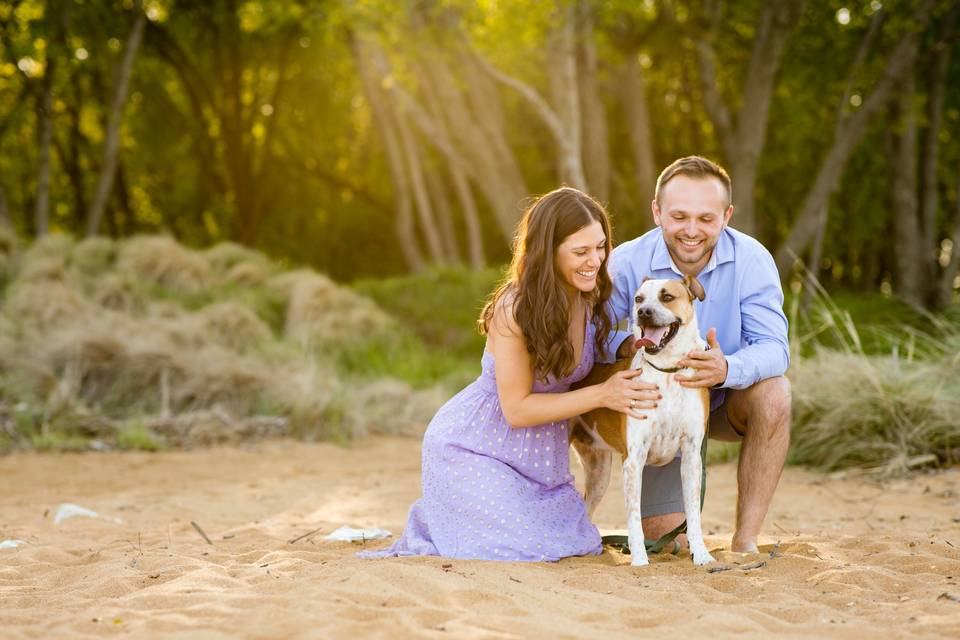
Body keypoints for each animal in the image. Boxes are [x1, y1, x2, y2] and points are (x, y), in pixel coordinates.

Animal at [568, 276, 712, 564]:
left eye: (667, 297)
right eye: (638, 299)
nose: (644, 312)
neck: (667, 372)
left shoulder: (692, 456)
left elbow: (693, 513)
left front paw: (701, 554)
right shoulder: (634, 460)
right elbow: (634, 518)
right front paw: (639, 560)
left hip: (599, 471)